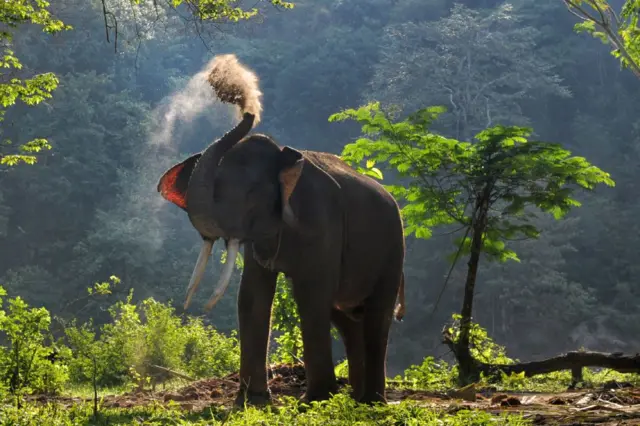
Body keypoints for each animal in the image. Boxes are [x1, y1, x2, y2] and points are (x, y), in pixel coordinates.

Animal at [156, 55, 404, 408]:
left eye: (249, 194)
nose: (229, 85)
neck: (286, 157)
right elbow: (252, 296)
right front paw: (253, 400)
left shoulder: (321, 220)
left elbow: (311, 294)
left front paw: (314, 401)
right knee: (346, 317)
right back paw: (356, 398)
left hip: (394, 246)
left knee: (375, 314)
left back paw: (371, 401)